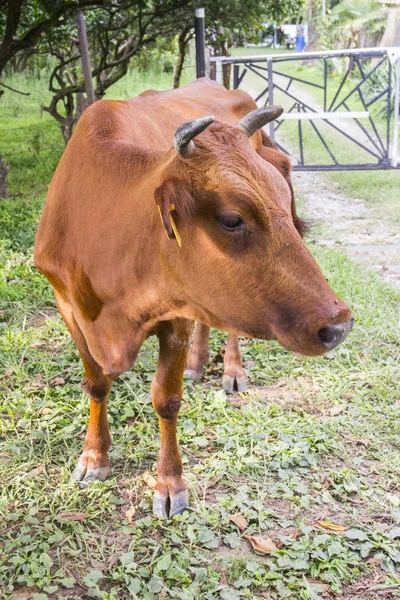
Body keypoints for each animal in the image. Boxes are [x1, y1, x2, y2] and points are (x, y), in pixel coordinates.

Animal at [35, 77, 354, 516]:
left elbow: (166, 400)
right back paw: (199, 363)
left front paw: (169, 483)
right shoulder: (67, 305)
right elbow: (96, 383)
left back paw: (232, 369)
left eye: (283, 201)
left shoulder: (175, 314)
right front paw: (94, 456)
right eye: (232, 219)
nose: (338, 325)